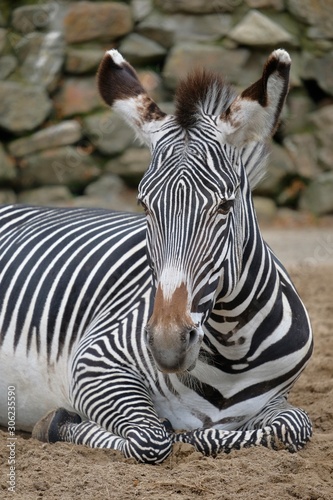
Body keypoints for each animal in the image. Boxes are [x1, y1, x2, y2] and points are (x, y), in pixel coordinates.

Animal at [0, 48, 312, 462]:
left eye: (225, 207)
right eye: (144, 206)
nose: (166, 344)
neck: (233, 351)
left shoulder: (277, 400)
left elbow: (293, 426)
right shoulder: (94, 362)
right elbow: (152, 438)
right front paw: (59, 424)